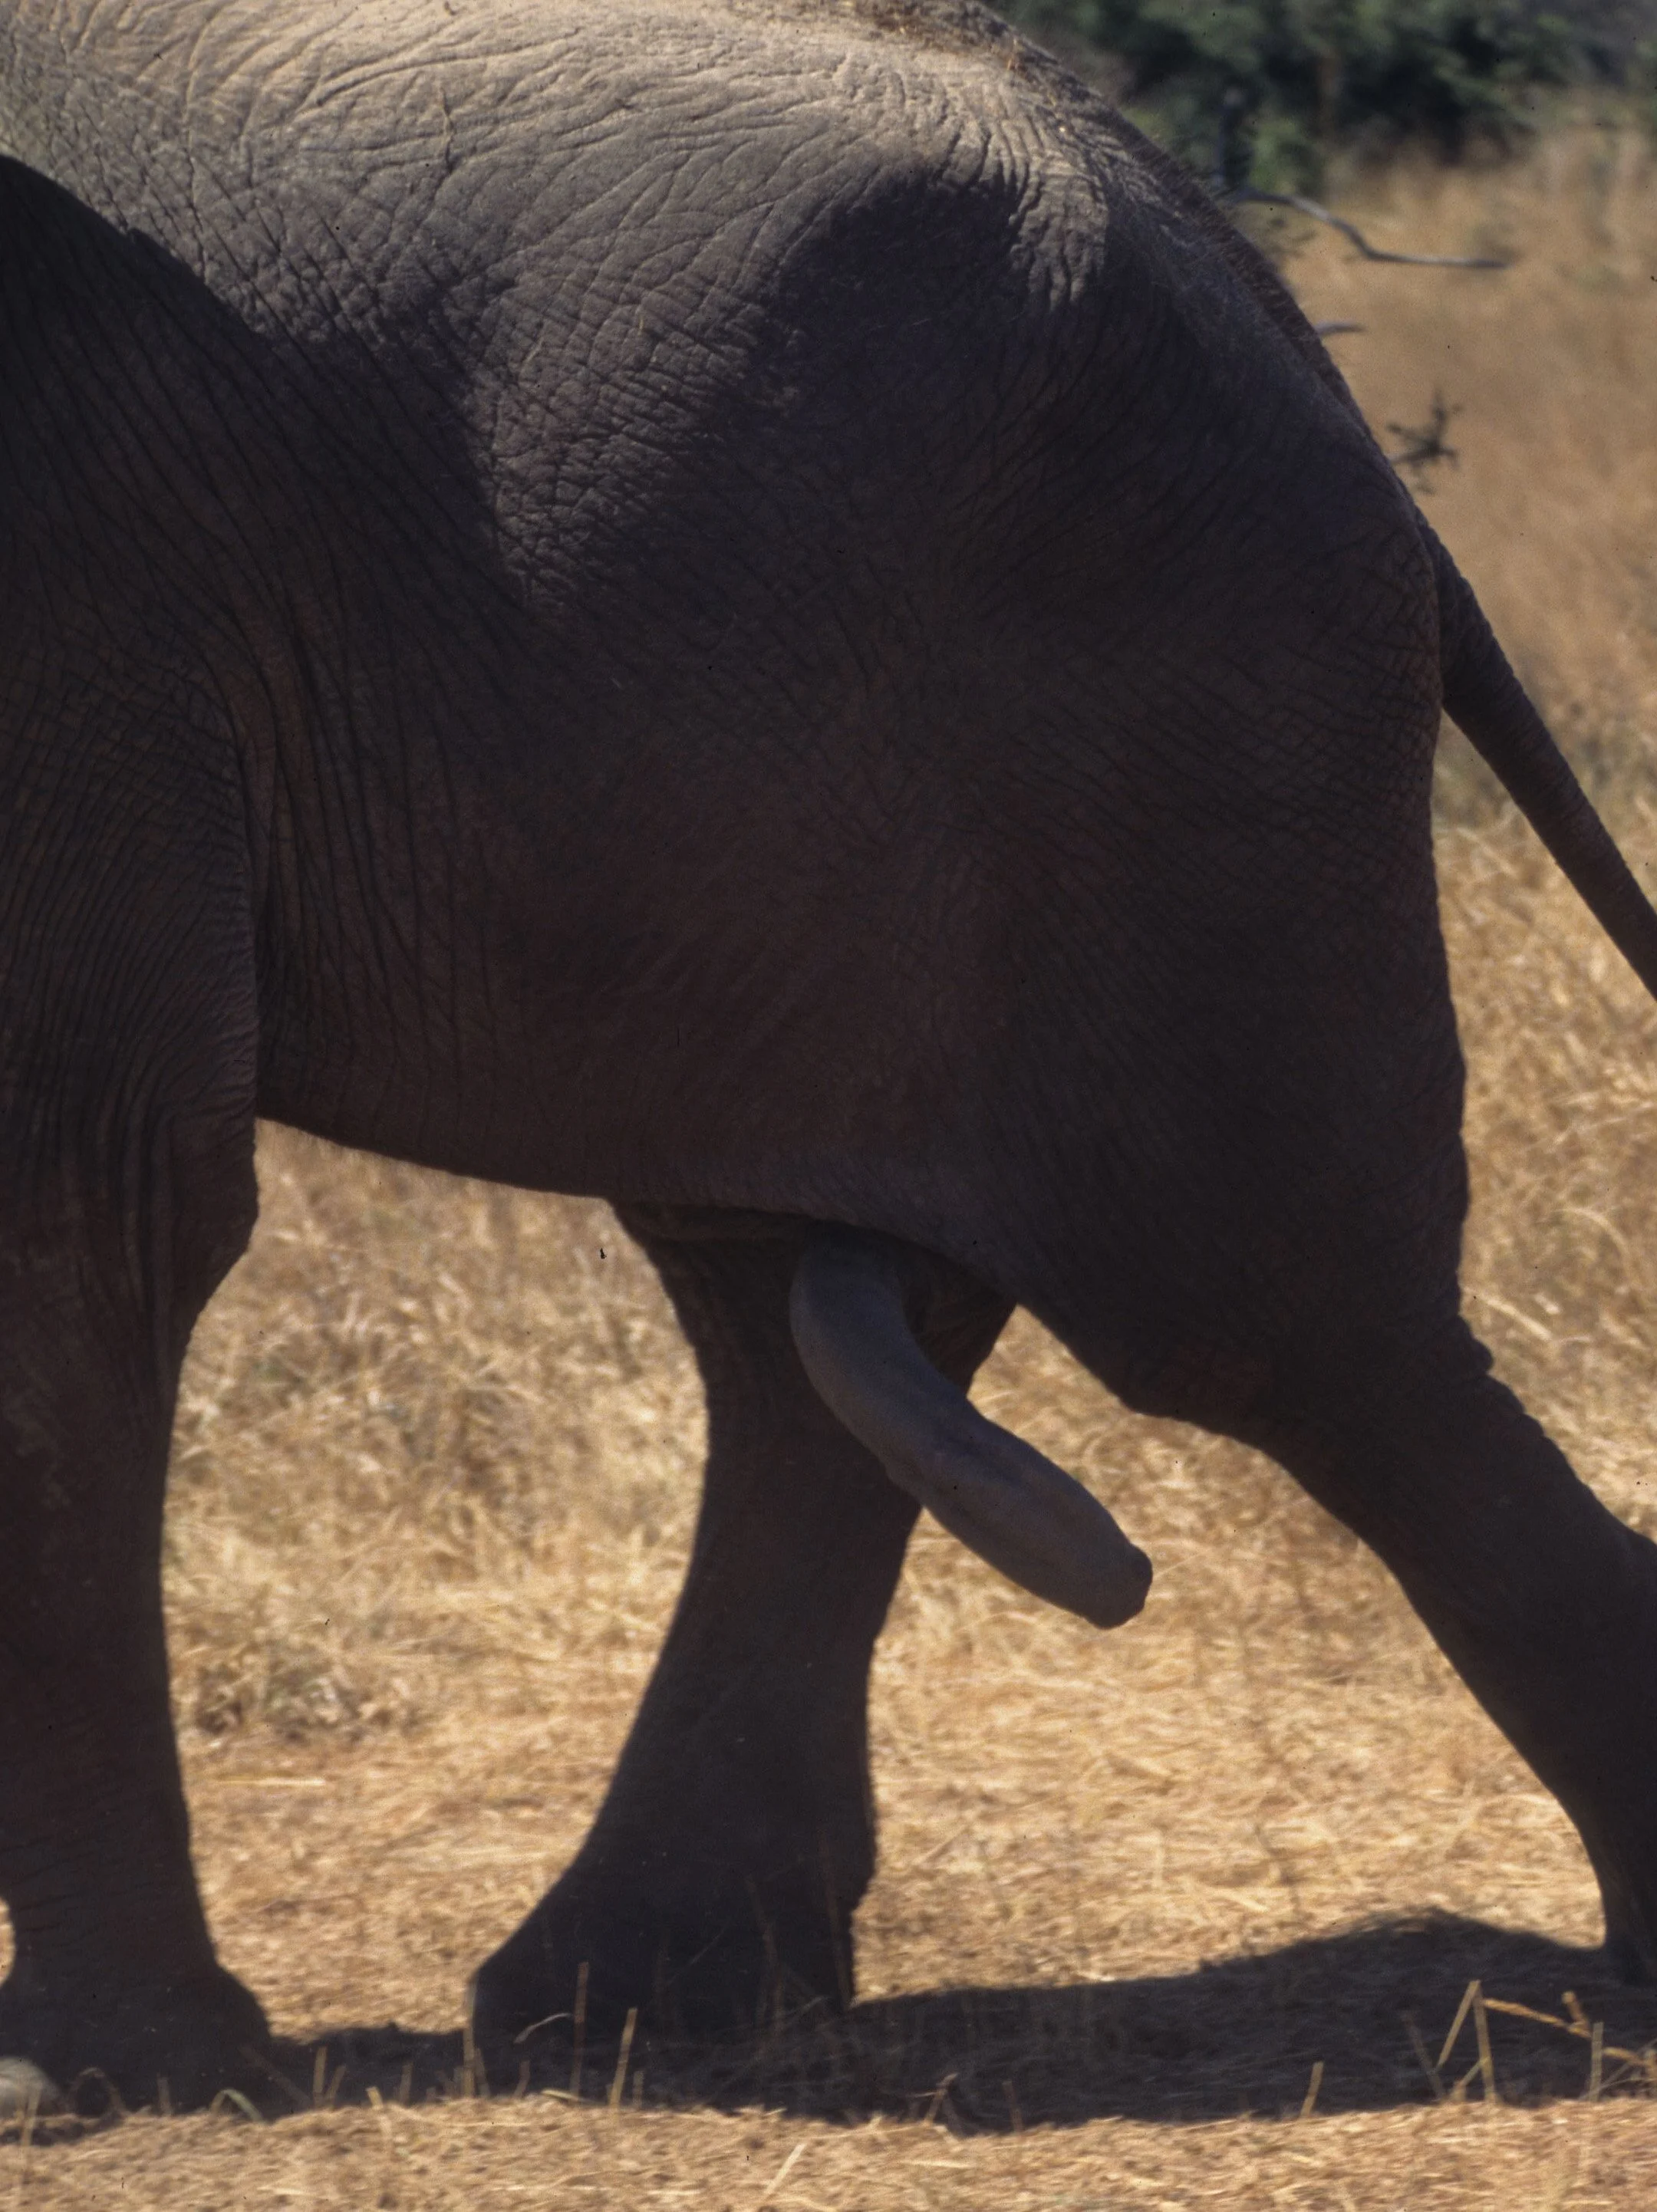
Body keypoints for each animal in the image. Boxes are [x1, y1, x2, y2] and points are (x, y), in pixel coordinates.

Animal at [2, 0, 1657, 2111]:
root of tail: (1257, 289)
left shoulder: (71, 599)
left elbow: (79, 1199)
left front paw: (98, 2087)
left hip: (1181, 706)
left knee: (1281, 1316)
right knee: (789, 1298)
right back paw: (636, 2003)